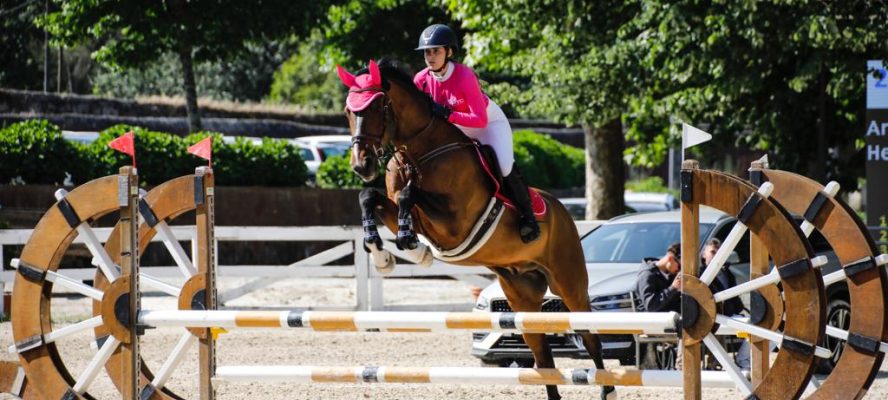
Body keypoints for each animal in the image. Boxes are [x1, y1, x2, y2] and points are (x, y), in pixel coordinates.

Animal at [336, 60, 612, 400]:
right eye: (348, 111)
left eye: (376, 106)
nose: (361, 166)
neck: (418, 151)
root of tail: (564, 212)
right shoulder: (406, 210)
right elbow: (370, 197)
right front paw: (383, 254)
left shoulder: (454, 222)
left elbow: (408, 196)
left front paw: (410, 243)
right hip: (521, 295)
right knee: (543, 354)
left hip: (569, 283)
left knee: (589, 336)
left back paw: (608, 391)